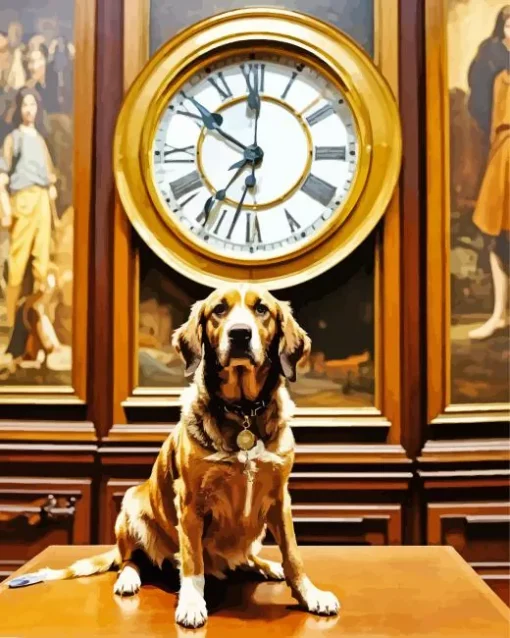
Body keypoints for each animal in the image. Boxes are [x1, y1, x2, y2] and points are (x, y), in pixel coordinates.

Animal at [39, 284, 340, 632]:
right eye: (219, 309)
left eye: (261, 309)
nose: (240, 333)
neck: (243, 413)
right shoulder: (191, 503)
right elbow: (193, 562)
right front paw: (193, 603)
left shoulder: (280, 500)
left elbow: (293, 555)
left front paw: (310, 594)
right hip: (131, 505)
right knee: (131, 558)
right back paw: (129, 578)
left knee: (245, 557)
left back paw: (264, 565)